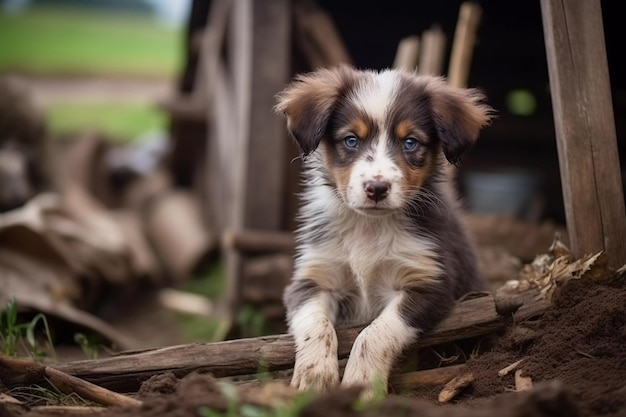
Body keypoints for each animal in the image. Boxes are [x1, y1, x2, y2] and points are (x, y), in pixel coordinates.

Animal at [276, 65, 490, 394]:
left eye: (410, 142)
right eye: (351, 140)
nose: (376, 188)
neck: (370, 225)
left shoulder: (430, 284)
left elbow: (375, 332)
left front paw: (361, 384)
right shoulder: (312, 279)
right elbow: (316, 324)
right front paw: (314, 376)